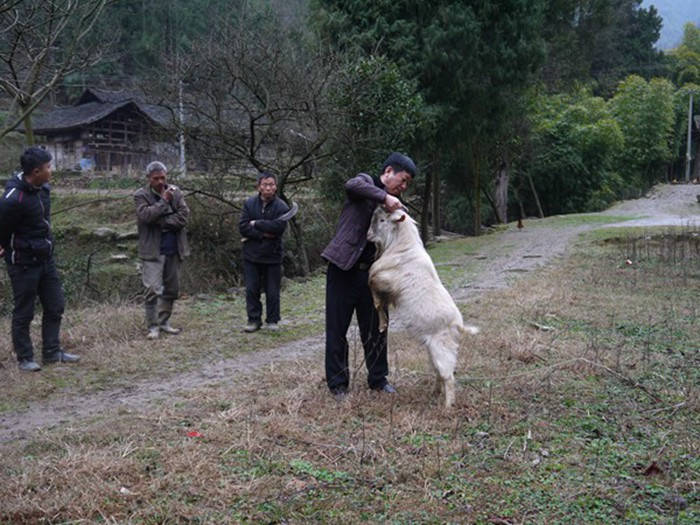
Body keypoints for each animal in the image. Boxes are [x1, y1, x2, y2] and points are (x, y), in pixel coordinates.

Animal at [366, 207, 476, 408]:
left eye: (383, 220)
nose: (377, 206)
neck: (401, 248)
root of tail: (459, 326)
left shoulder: (384, 280)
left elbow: (374, 289)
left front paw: (381, 322)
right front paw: (382, 324)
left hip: (442, 350)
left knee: (448, 376)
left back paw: (447, 406)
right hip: (432, 351)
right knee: (439, 373)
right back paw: (434, 393)